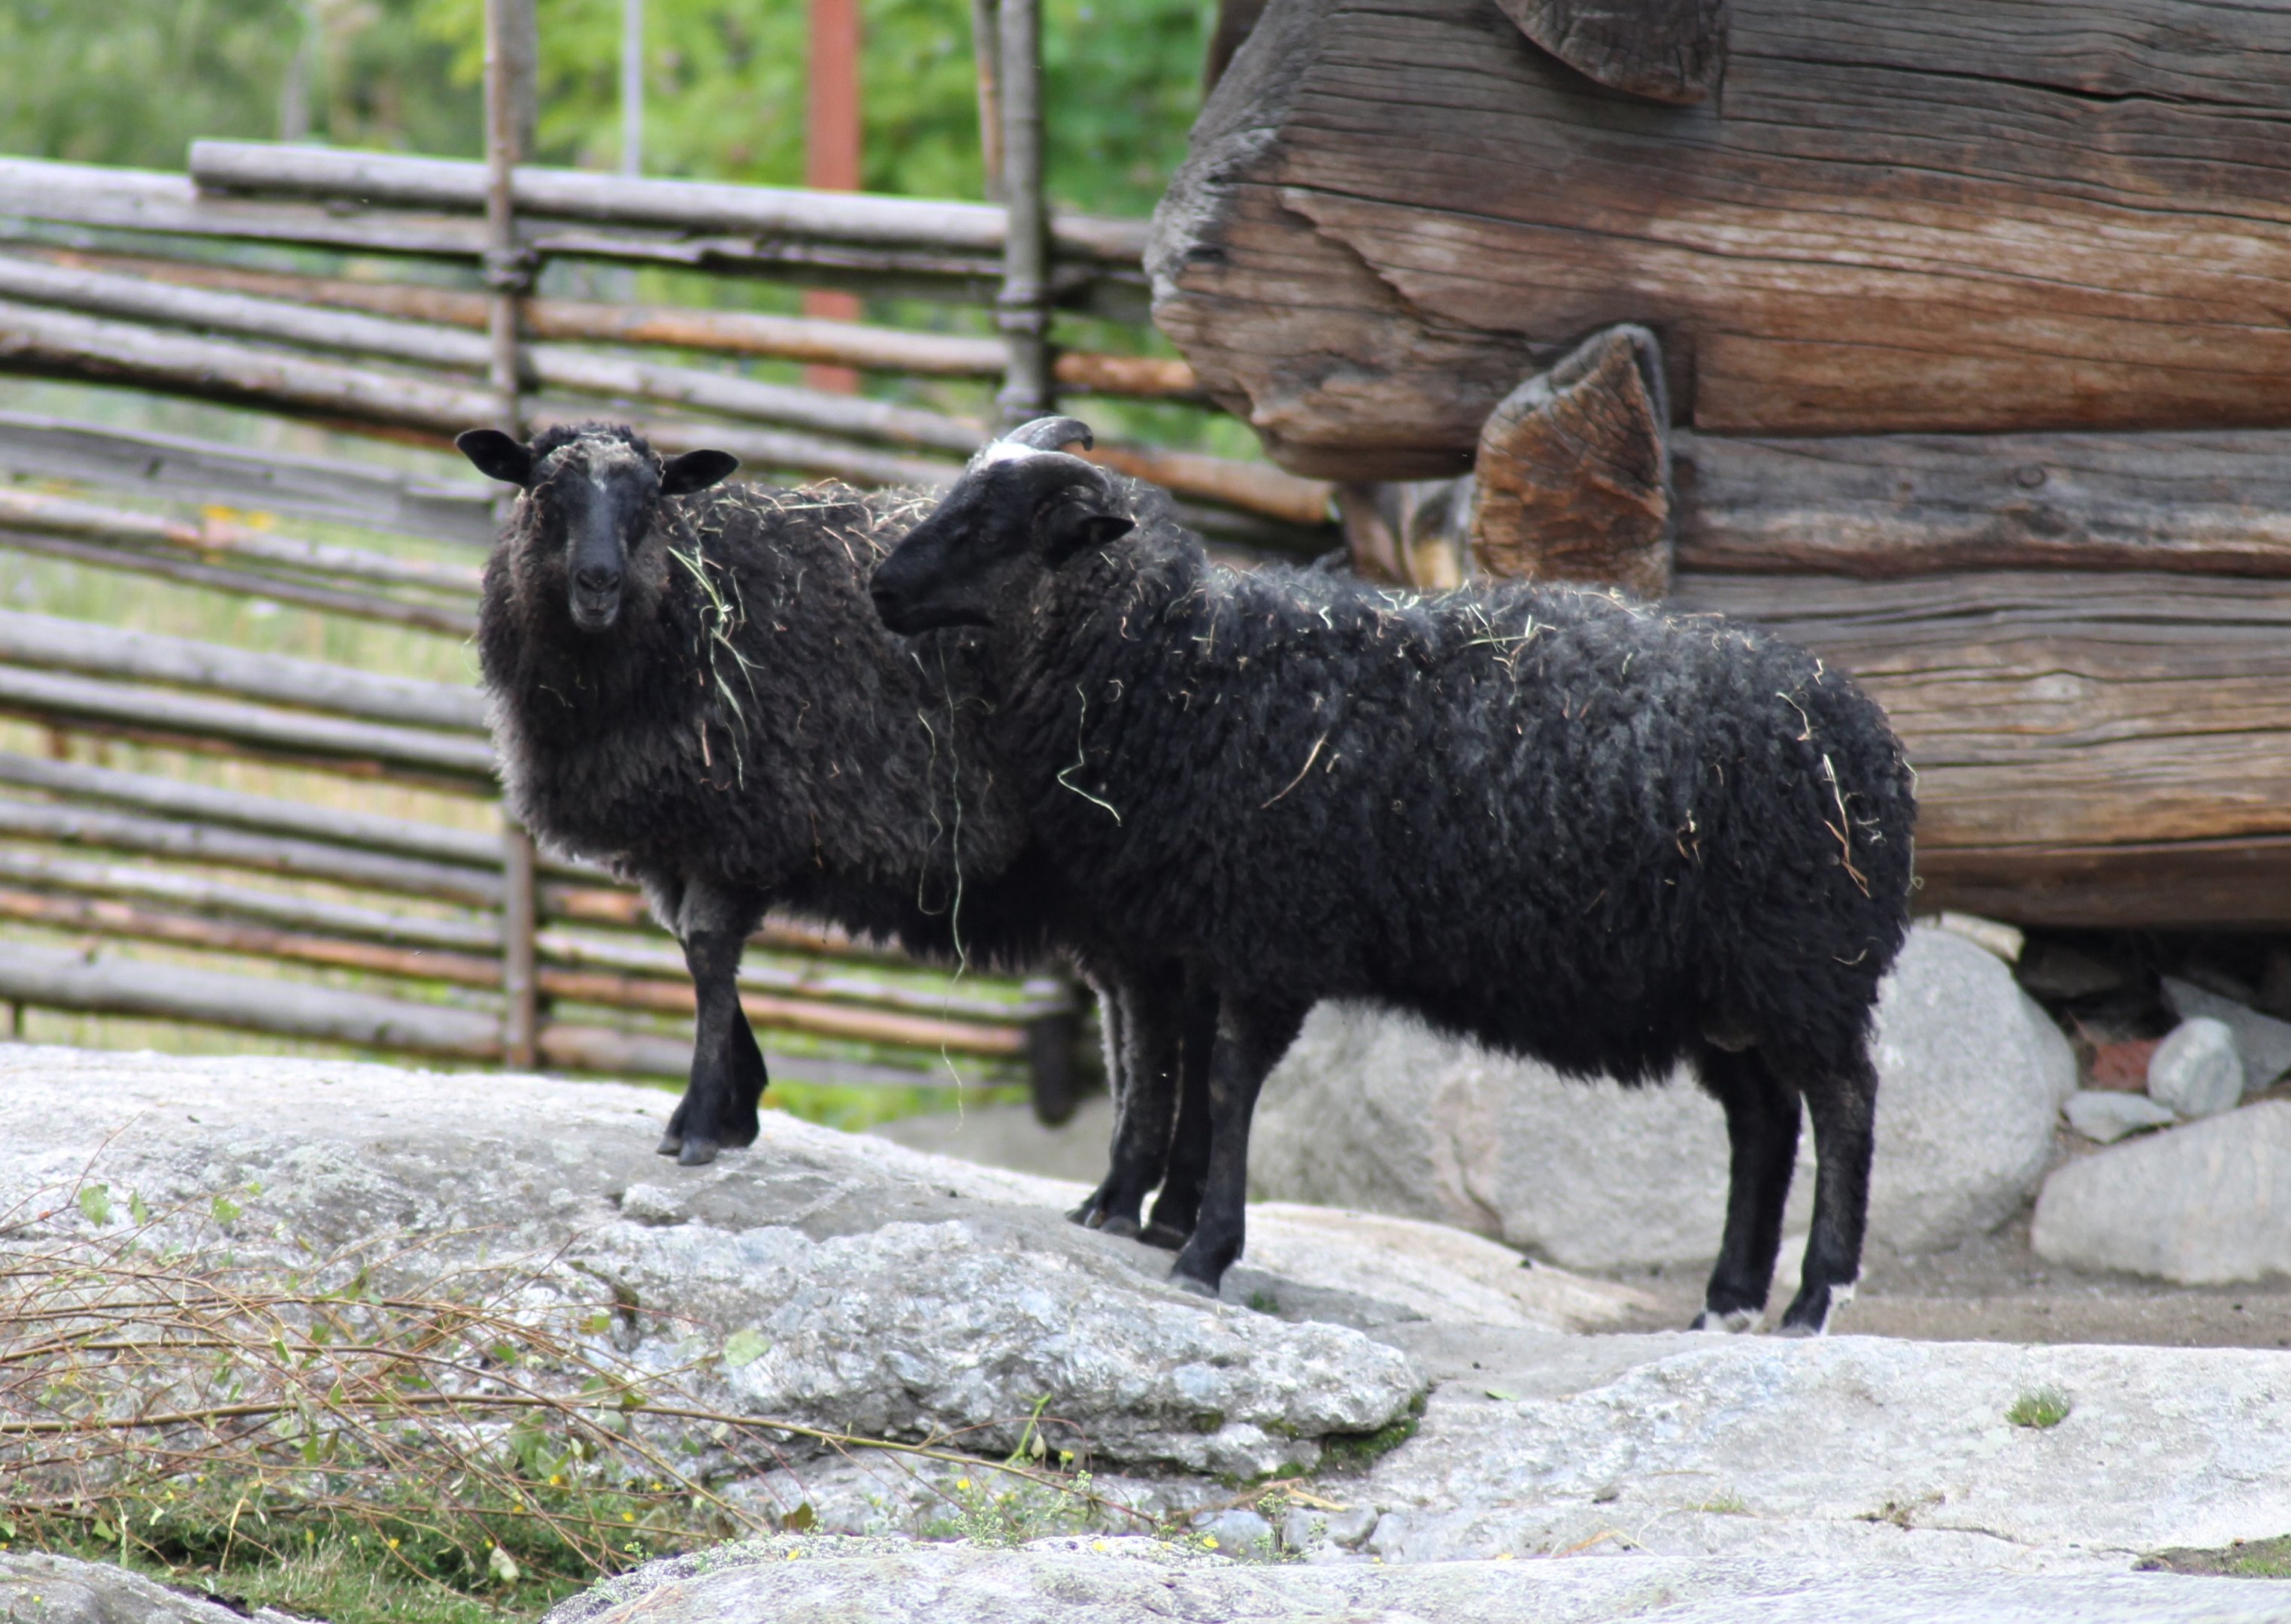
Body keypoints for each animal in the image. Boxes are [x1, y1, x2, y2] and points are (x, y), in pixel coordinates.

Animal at [458, 419, 1212, 1219]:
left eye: (649, 499)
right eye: (543, 493)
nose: (598, 582)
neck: (692, 602)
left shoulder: (741, 823)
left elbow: (709, 955)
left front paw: (701, 1124)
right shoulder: (675, 834)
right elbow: (693, 952)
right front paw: (734, 1105)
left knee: (1161, 1013)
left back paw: (1141, 1200)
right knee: (1140, 1005)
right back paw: (1142, 1197)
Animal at [869, 419, 1917, 1332]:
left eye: (984, 526)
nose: (879, 590)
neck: (1184, 669)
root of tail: (1870, 745)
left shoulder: (1266, 934)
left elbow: (1226, 1085)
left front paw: (1203, 1252)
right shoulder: (1195, 937)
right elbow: (1179, 1075)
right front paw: (1152, 1219)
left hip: (1804, 961)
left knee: (1843, 1106)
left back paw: (1814, 1298)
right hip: (1723, 984)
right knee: (1761, 1119)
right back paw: (1727, 1301)